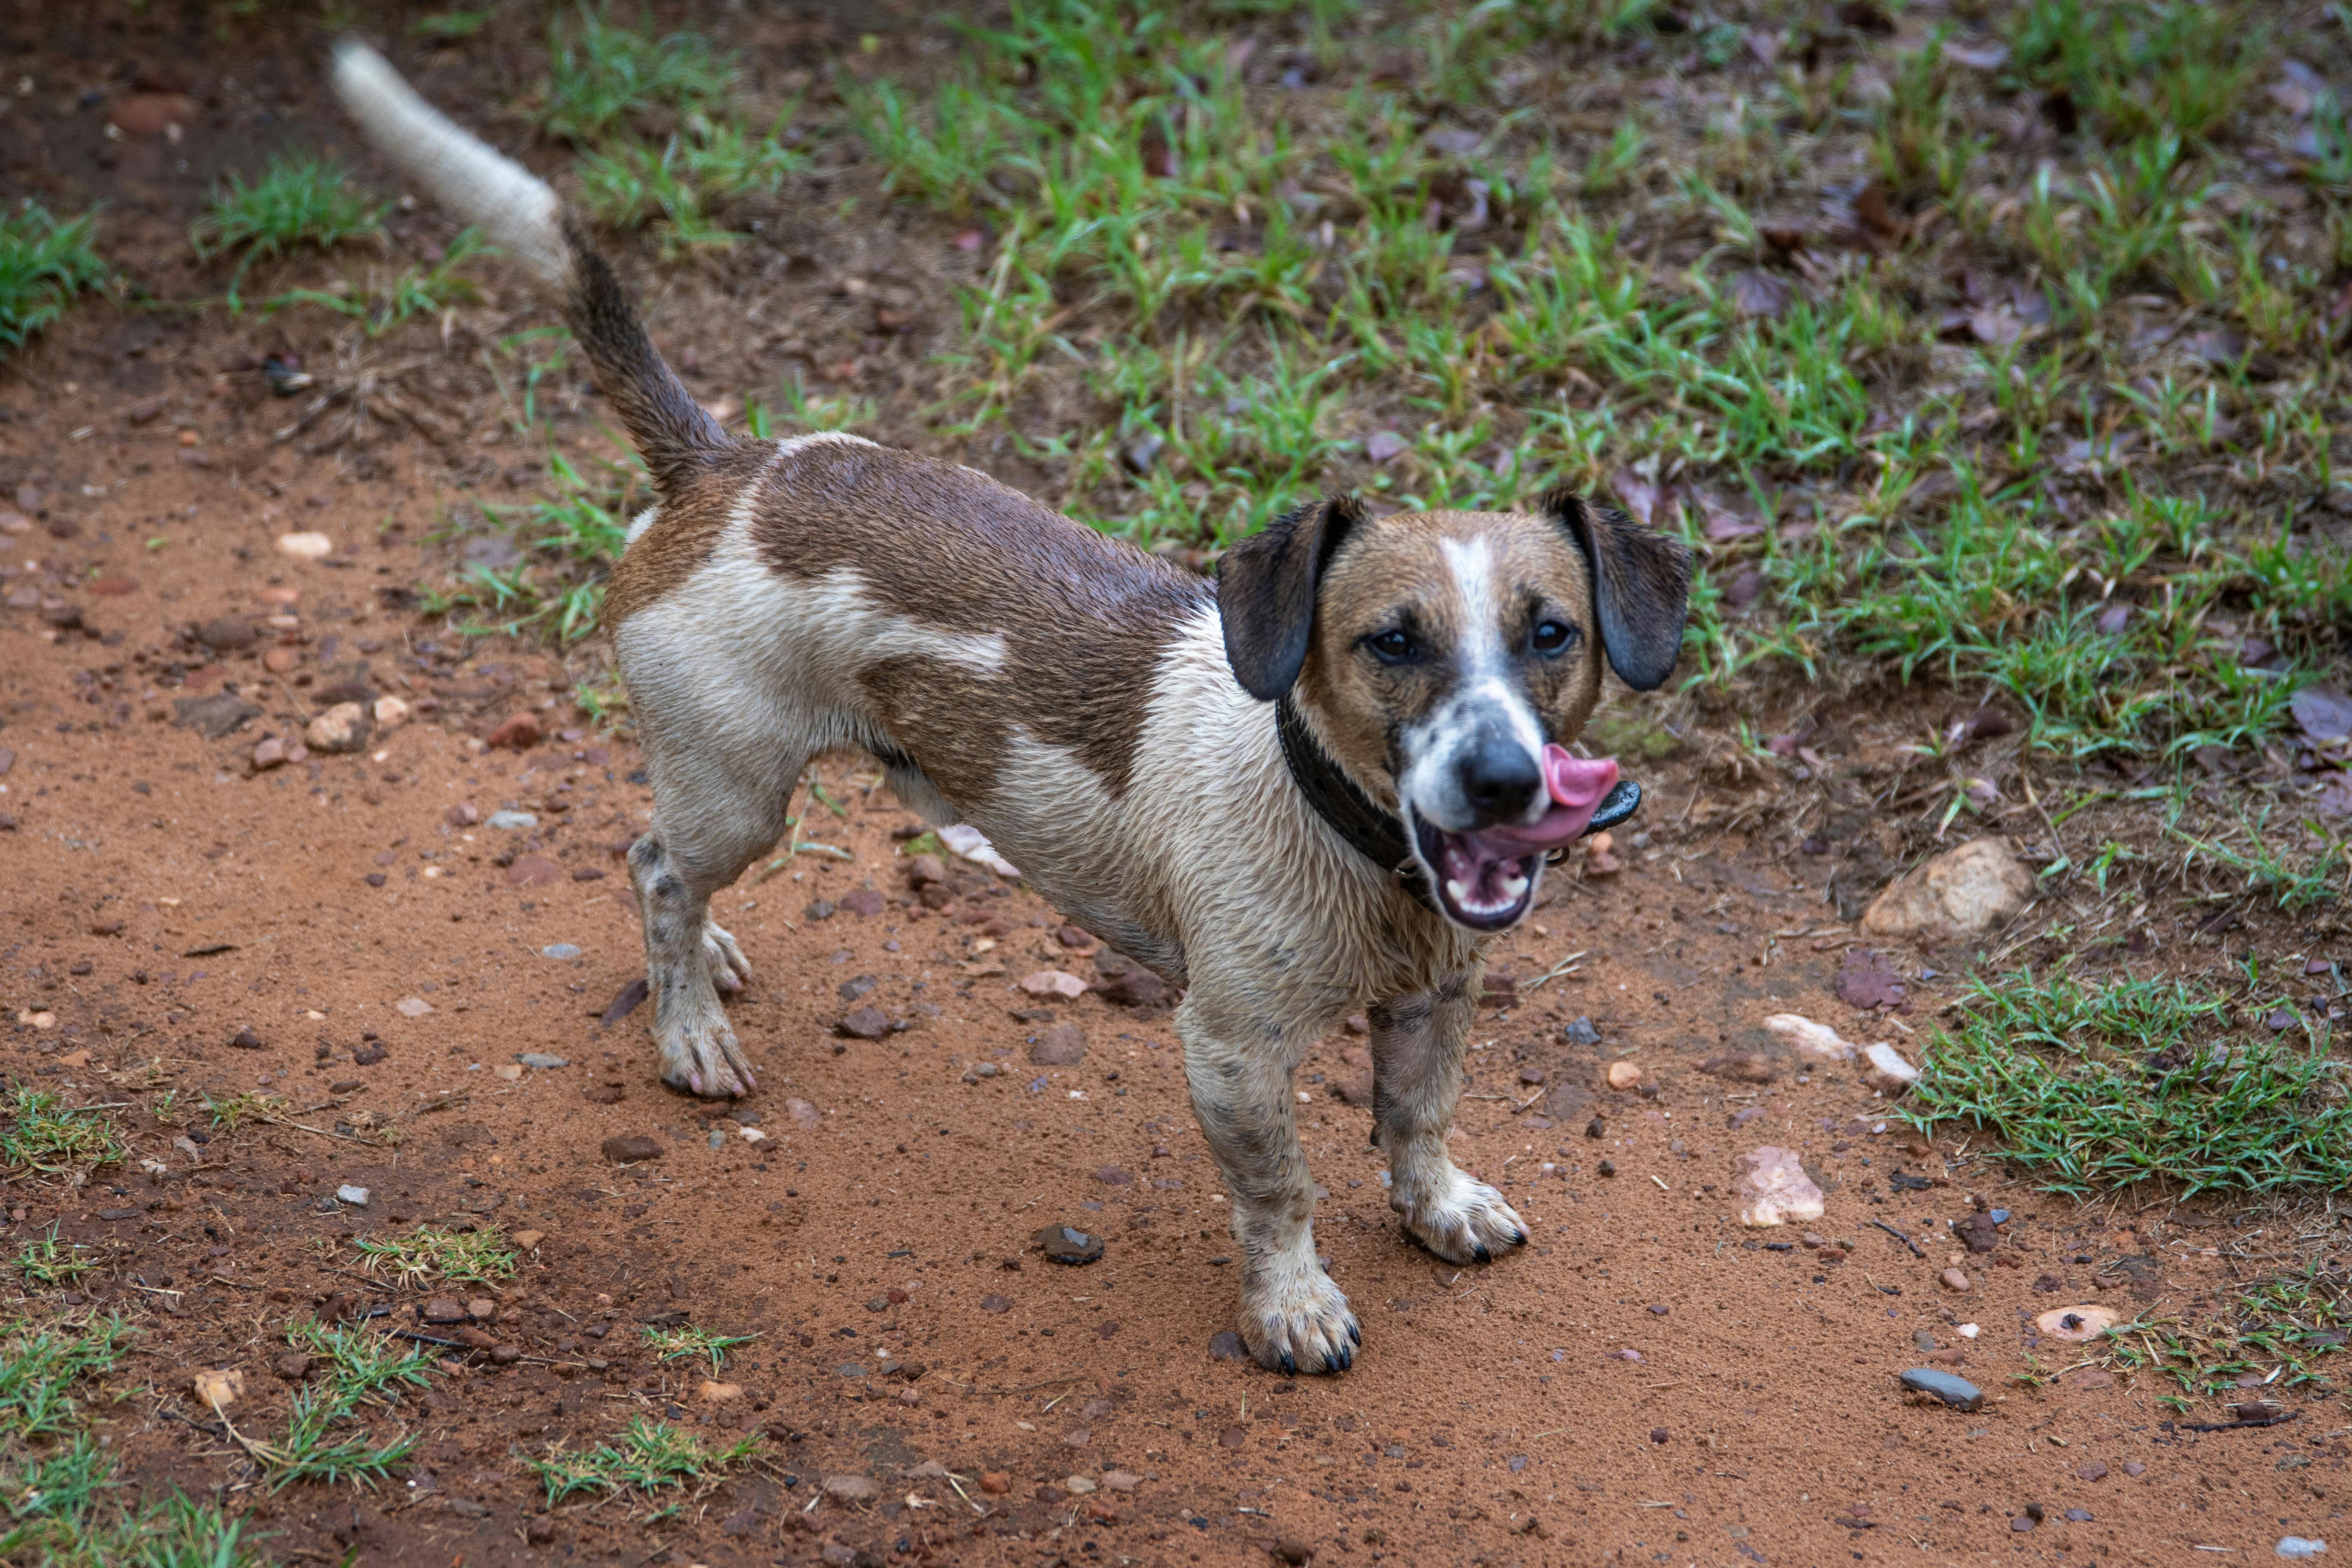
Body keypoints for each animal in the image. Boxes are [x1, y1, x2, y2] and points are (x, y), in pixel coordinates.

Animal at [331, 43, 1693, 1373]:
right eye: (1391, 643)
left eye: (1551, 635)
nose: (1503, 781)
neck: (1348, 839)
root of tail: (724, 467)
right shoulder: (1232, 1049)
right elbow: (1280, 1192)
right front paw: (1292, 1307)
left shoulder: (1436, 1002)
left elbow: (1417, 1120)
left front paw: (1439, 1207)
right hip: (739, 788)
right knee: (656, 865)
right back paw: (691, 1031)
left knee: (658, 859)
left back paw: (709, 964)